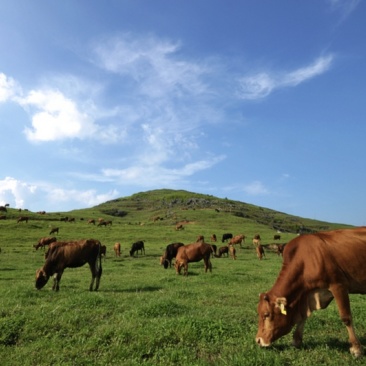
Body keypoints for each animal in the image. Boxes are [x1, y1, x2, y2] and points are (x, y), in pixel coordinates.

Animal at [254, 229, 366, 358]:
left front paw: (356, 348)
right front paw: (296, 340)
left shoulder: (338, 285)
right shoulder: (307, 293)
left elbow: (346, 317)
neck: (305, 260)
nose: (258, 340)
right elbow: (303, 316)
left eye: (266, 314)